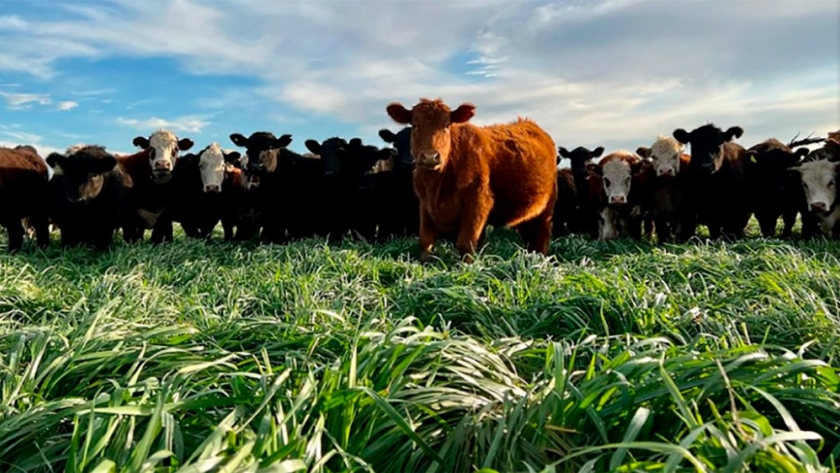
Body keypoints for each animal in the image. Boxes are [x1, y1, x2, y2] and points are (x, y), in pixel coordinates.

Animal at [386, 97, 556, 264]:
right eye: (415, 125)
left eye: (446, 126)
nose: (430, 156)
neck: (436, 185)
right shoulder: (425, 204)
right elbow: (425, 241)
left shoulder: (477, 202)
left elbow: (465, 244)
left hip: (545, 211)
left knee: (541, 238)